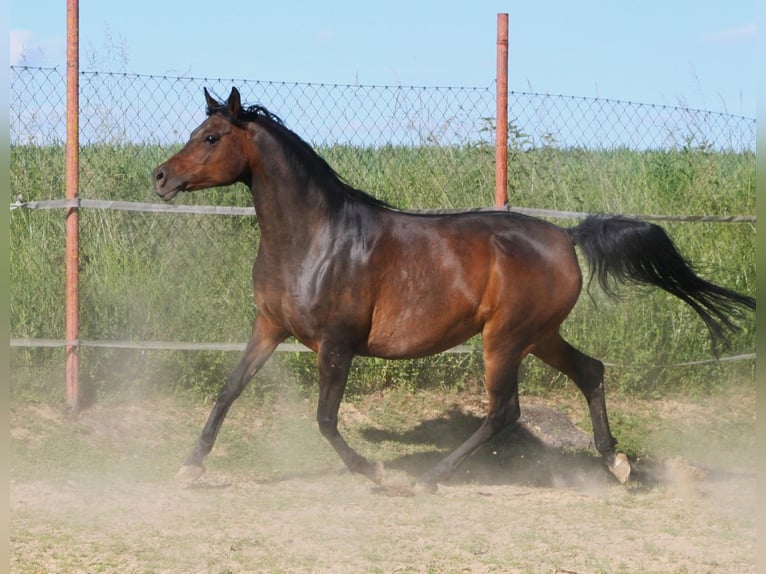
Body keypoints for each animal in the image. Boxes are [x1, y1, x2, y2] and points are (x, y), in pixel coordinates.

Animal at [152, 87, 755, 491]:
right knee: (590, 372)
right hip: (539, 336)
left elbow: (325, 419)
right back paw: (617, 463)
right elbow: (228, 390)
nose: (159, 177)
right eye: (195, 133)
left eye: (211, 137)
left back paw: (430, 477)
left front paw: (376, 472)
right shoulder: (269, 327)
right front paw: (188, 466)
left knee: (504, 410)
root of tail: (566, 236)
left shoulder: (337, 344)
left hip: (504, 339)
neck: (315, 239)